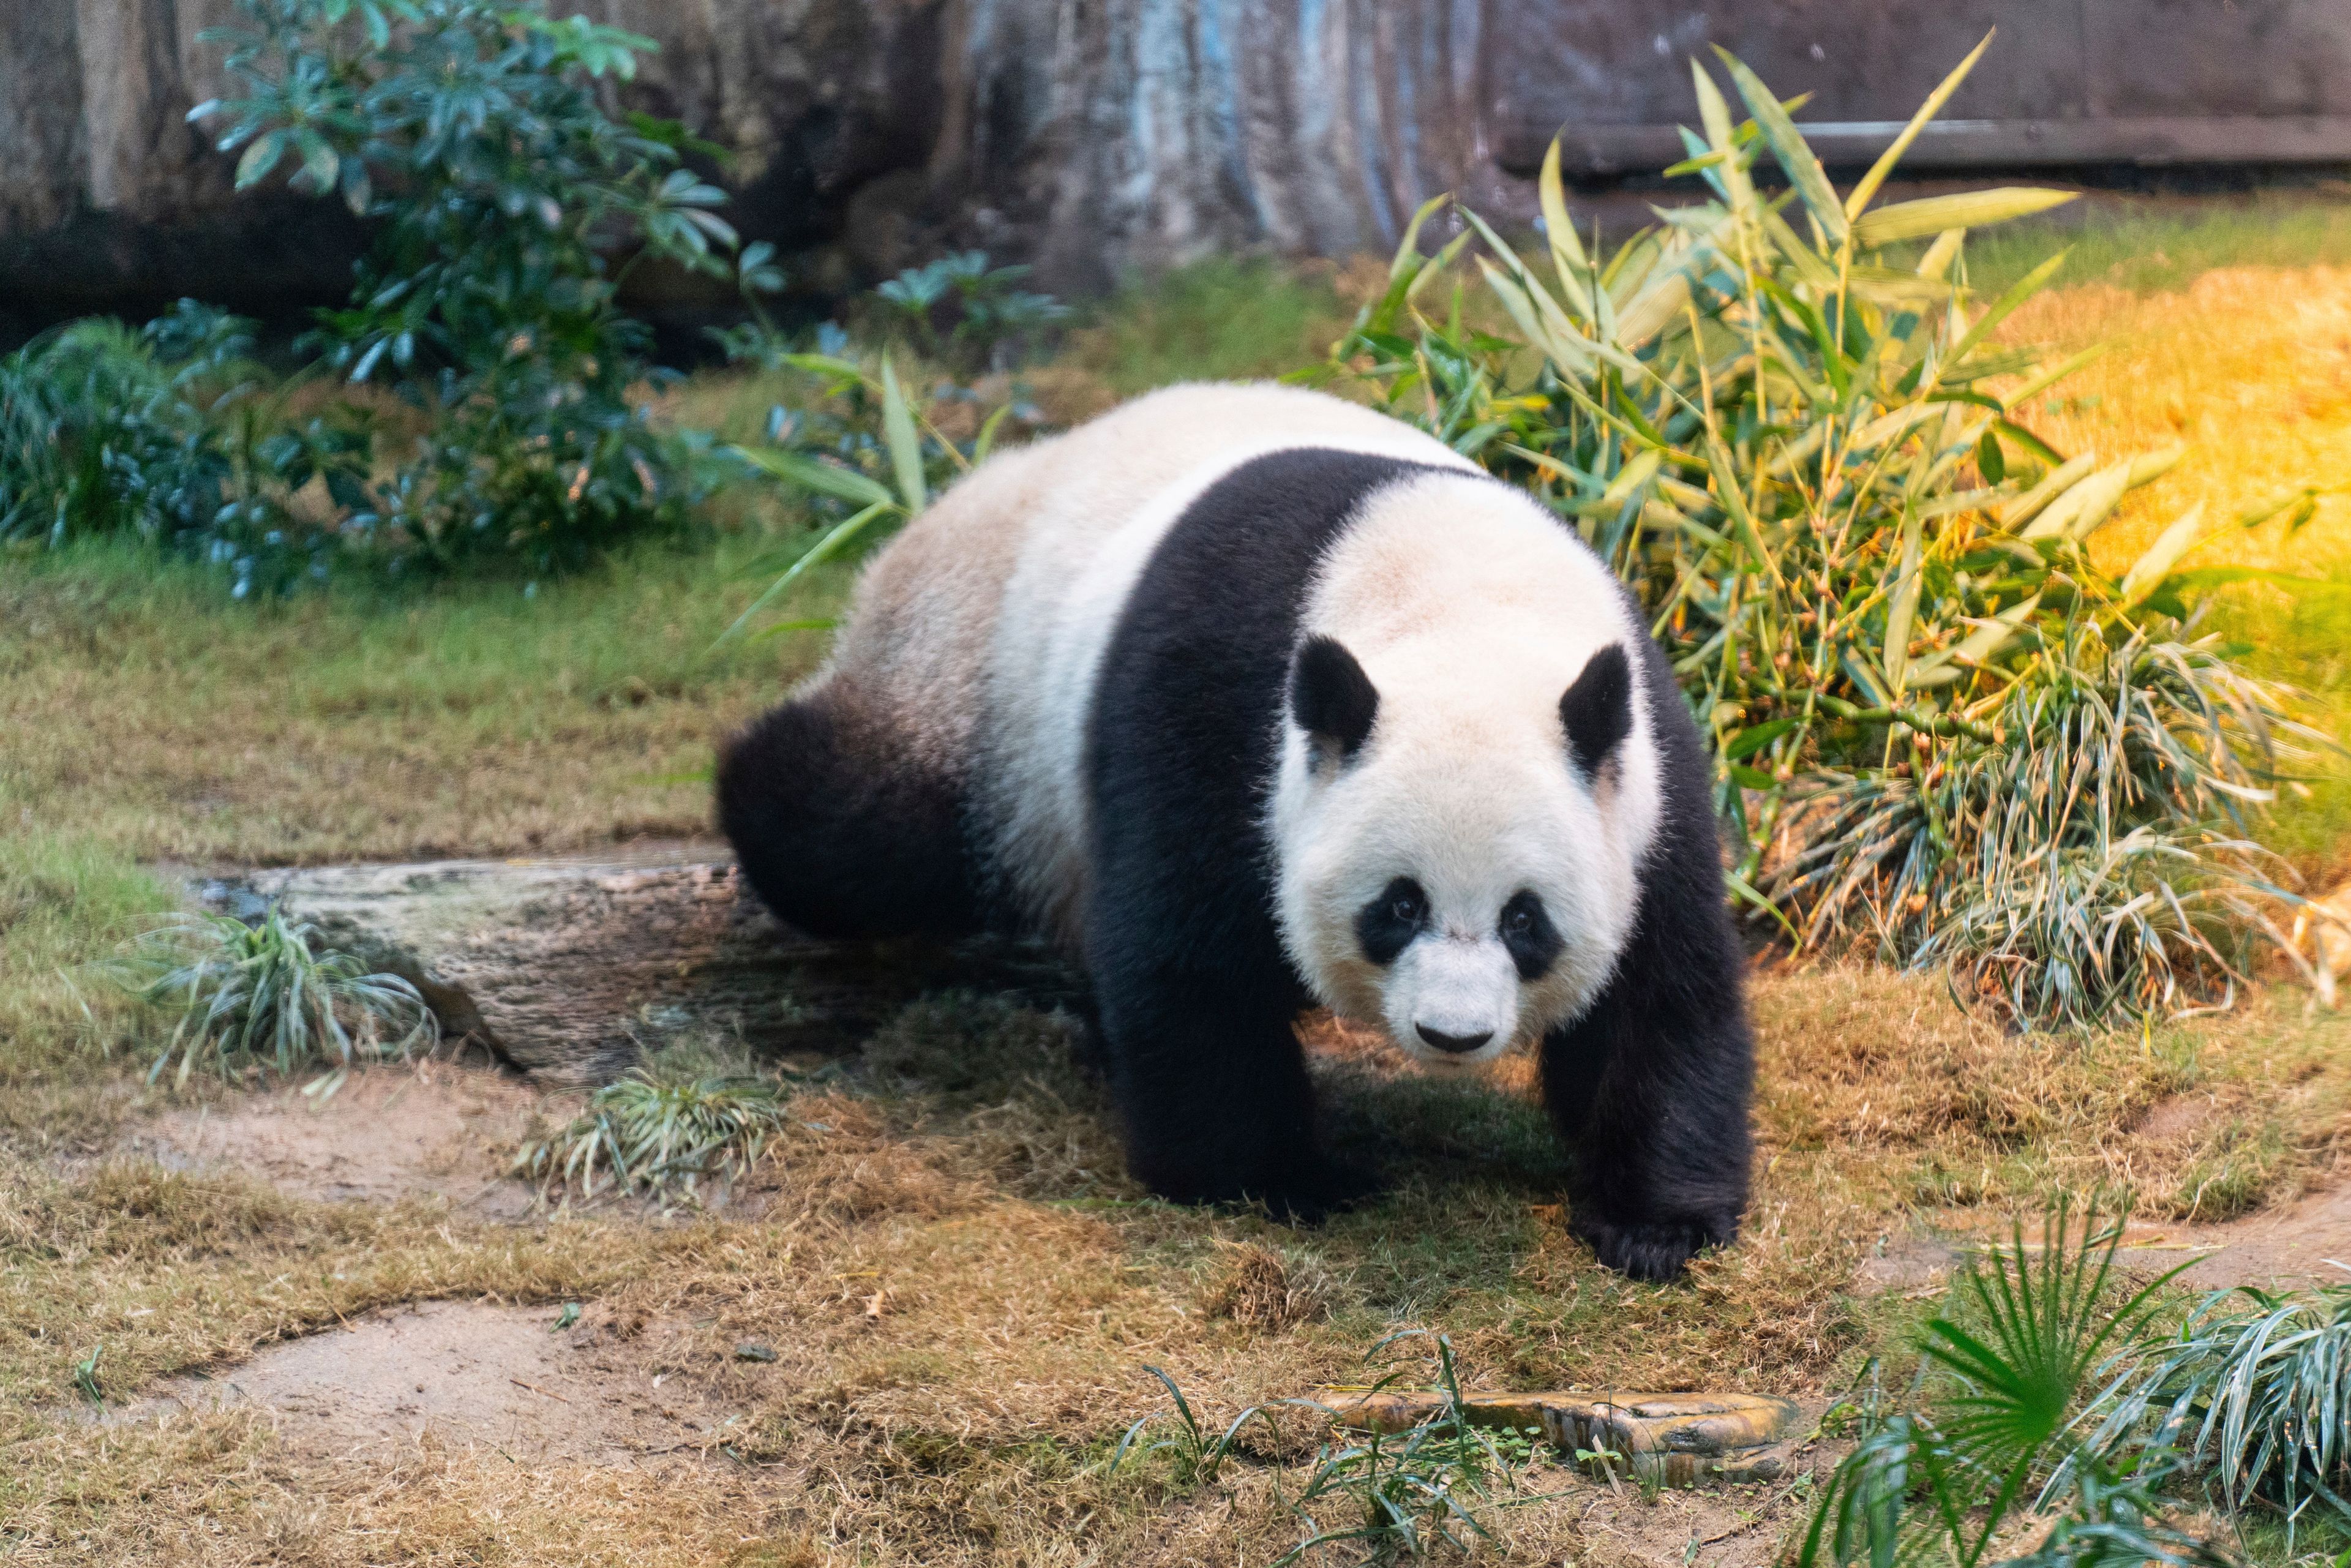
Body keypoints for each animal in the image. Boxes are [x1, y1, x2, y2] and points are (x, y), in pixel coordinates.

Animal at [724, 381, 1758, 1278]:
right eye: (1398, 906)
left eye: (1524, 919)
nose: (1453, 1034)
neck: (1461, 602)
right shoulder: (1217, 710)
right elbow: (1190, 960)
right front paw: (1280, 1179)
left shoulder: (1644, 776)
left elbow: (1663, 991)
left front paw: (1655, 1223)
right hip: (976, 688)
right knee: (858, 830)